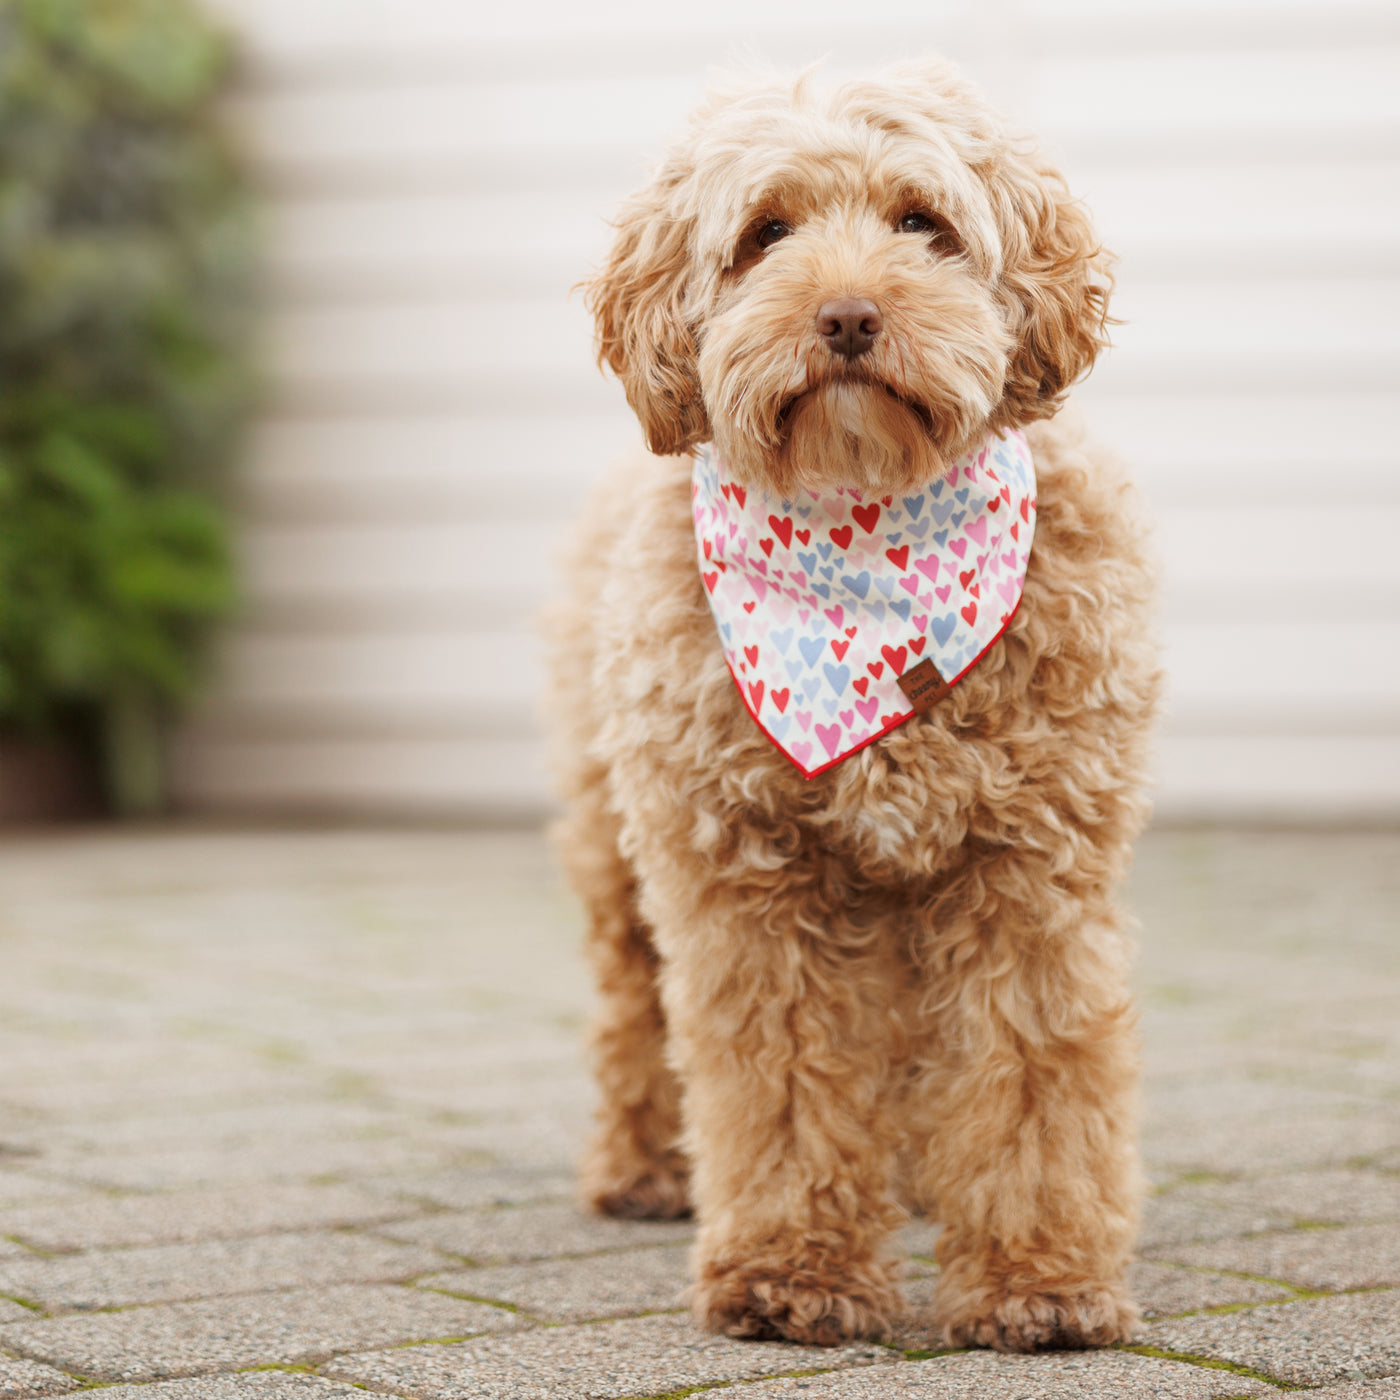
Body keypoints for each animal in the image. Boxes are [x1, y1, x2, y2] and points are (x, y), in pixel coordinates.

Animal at [543, 60, 1159, 1349]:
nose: (846, 317)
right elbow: (779, 1078)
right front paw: (792, 1273)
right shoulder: (748, 873)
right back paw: (643, 1166)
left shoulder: (1027, 867)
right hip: (615, 843)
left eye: (922, 222)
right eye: (764, 234)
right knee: (634, 1008)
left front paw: (1035, 1281)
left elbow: (1028, 1074)